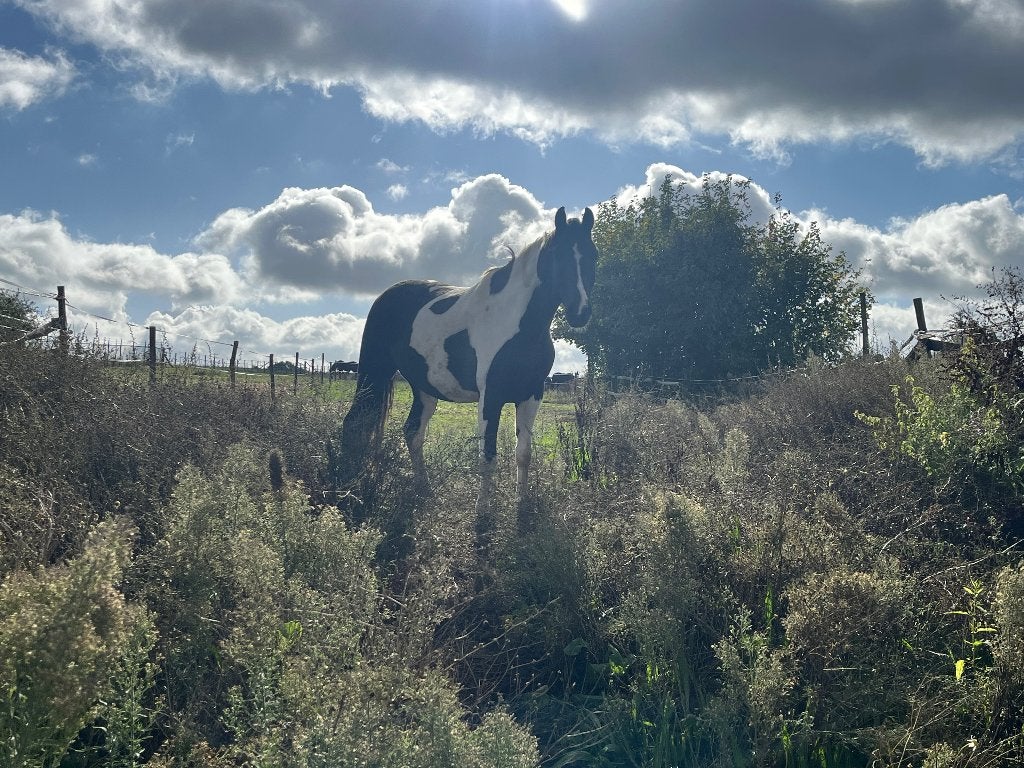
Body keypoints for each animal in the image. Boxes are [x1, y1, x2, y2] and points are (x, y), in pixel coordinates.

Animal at [337, 206, 597, 529]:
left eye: (592, 255)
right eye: (559, 256)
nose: (580, 313)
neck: (519, 325)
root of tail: (386, 295)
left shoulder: (531, 395)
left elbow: (523, 453)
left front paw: (521, 505)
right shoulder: (491, 397)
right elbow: (487, 456)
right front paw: (483, 512)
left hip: (423, 388)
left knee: (412, 432)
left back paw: (423, 488)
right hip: (374, 373)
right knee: (353, 423)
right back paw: (349, 483)